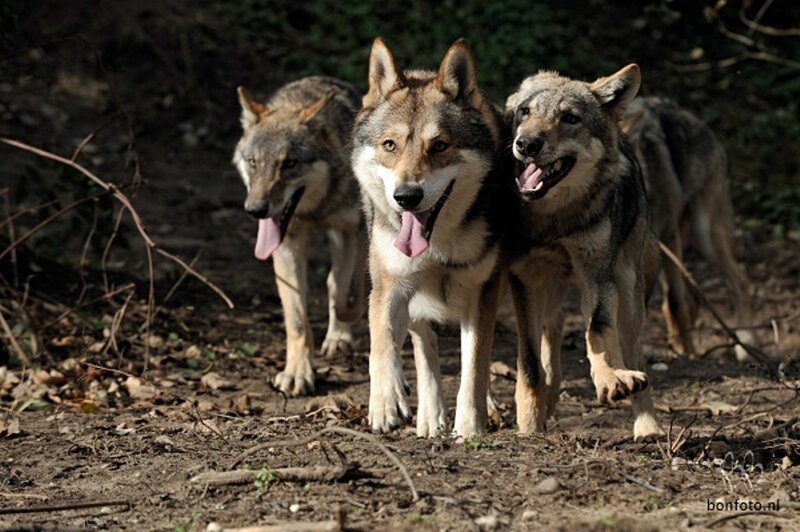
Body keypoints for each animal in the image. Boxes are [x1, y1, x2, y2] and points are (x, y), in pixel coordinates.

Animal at [233, 76, 365, 396]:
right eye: (253, 162)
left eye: (289, 163)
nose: (255, 210)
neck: (314, 211)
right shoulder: (286, 245)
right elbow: (296, 319)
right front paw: (297, 374)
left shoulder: (352, 231)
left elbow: (342, 288)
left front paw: (341, 332)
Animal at [351, 38, 518, 438]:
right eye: (390, 145)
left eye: (440, 146)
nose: (406, 197)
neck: (438, 246)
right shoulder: (387, 288)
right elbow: (381, 345)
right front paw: (385, 404)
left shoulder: (484, 293)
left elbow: (474, 367)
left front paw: (470, 426)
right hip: (413, 296)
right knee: (423, 345)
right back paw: (427, 416)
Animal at [505, 65, 665, 440]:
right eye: (525, 112)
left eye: (570, 118)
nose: (526, 144)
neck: (554, 220)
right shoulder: (523, 278)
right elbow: (530, 363)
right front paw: (528, 426)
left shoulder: (597, 275)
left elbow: (598, 331)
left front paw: (610, 381)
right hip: (551, 288)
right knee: (554, 328)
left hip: (628, 293)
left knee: (632, 351)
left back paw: (646, 424)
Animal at [621, 97, 755, 361]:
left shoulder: (669, 236)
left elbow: (675, 302)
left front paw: (691, 354)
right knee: (691, 298)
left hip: (703, 236)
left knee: (740, 281)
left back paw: (744, 343)